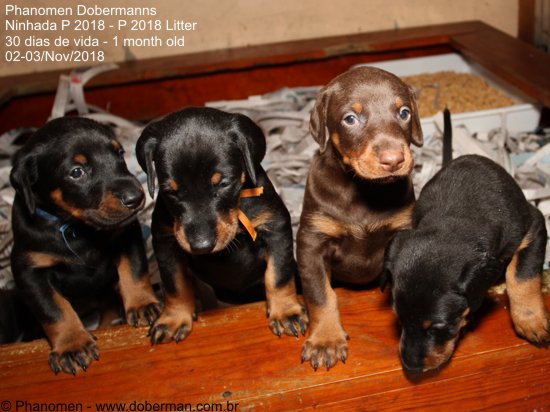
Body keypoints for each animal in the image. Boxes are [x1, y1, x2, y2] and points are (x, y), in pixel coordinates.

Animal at [10, 117, 160, 375]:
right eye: (76, 172)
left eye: (119, 154)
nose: (136, 197)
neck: (75, 228)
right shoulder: (29, 269)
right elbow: (53, 308)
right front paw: (72, 344)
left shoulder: (125, 233)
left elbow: (134, 271)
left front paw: (144, 304)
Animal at [135, 106, 307, 344]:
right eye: (170, 191)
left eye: (224, 183)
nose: (201, 246)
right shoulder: (165, 241)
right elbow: (174, 285)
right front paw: (173, 318)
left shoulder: (276, 228)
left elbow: (278, 275)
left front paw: (286, 312)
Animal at [296, 66, 423, 370]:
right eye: (350, 119)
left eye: (404, 112)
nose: (393, 159)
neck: (364, 190)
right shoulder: (311, 243)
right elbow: (321, 294)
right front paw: (326, 341)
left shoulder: (403, 228)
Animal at [384, 154, 550, 373]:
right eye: (399, 318)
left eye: (439, 327)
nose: (410, 366)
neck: (456, 220)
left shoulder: (533, 227)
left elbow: (522, 275)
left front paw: (531, 321)